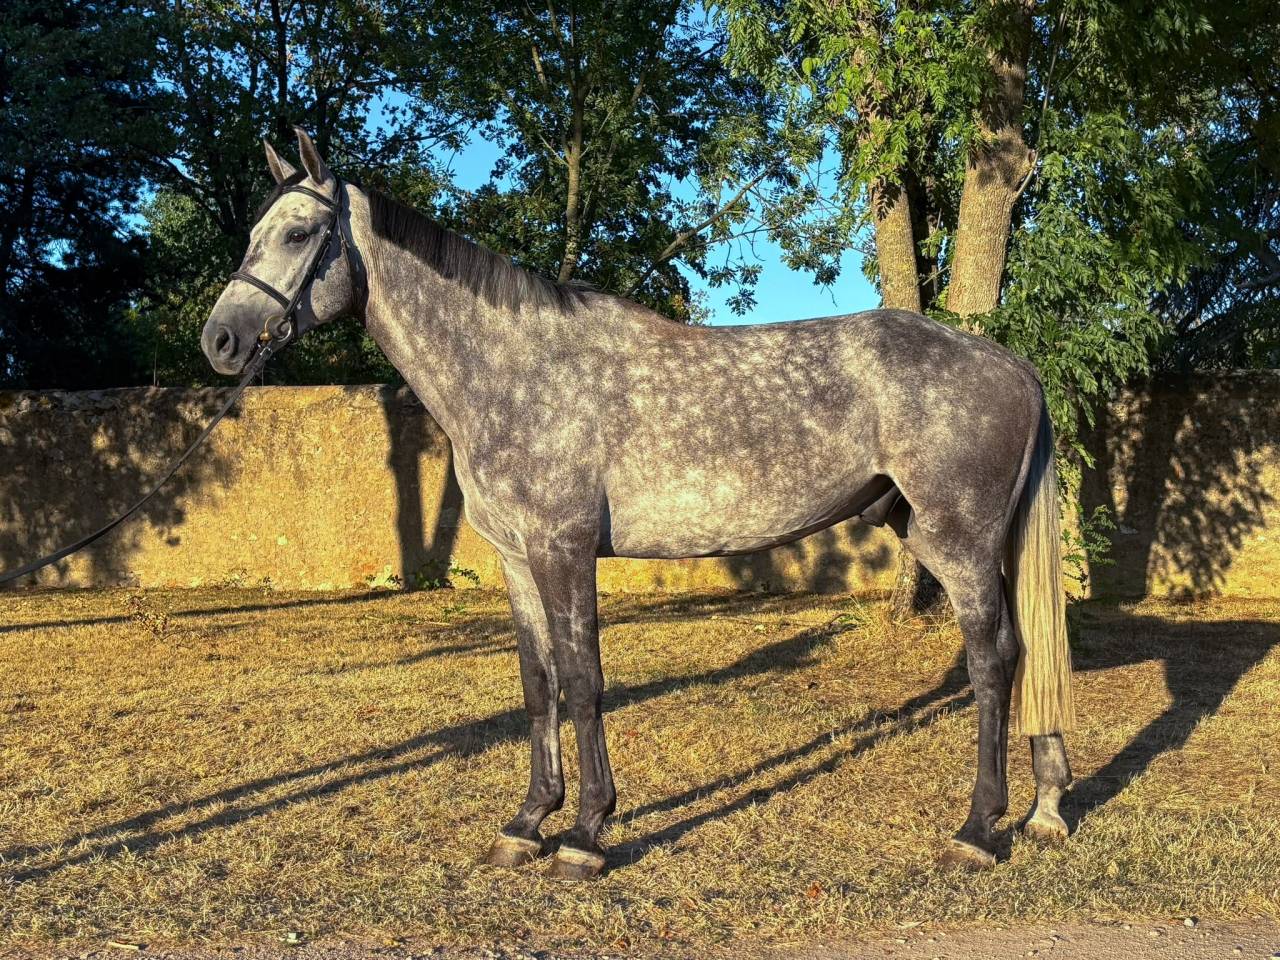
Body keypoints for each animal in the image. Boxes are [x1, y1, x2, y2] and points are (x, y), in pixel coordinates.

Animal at [201, 127, 1076, 880]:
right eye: (256, 232)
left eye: (299, 233)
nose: (221, 342)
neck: (514, 370)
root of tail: (1012, 365)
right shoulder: (517, 559)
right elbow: (538, 685)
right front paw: (527, 823)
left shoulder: (564, 549)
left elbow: (585, 682)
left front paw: (586, 835)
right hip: (943, 537)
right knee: (1029, 649)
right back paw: (1044, 810)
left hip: (960, 542)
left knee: (995, 661)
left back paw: (978, 829)